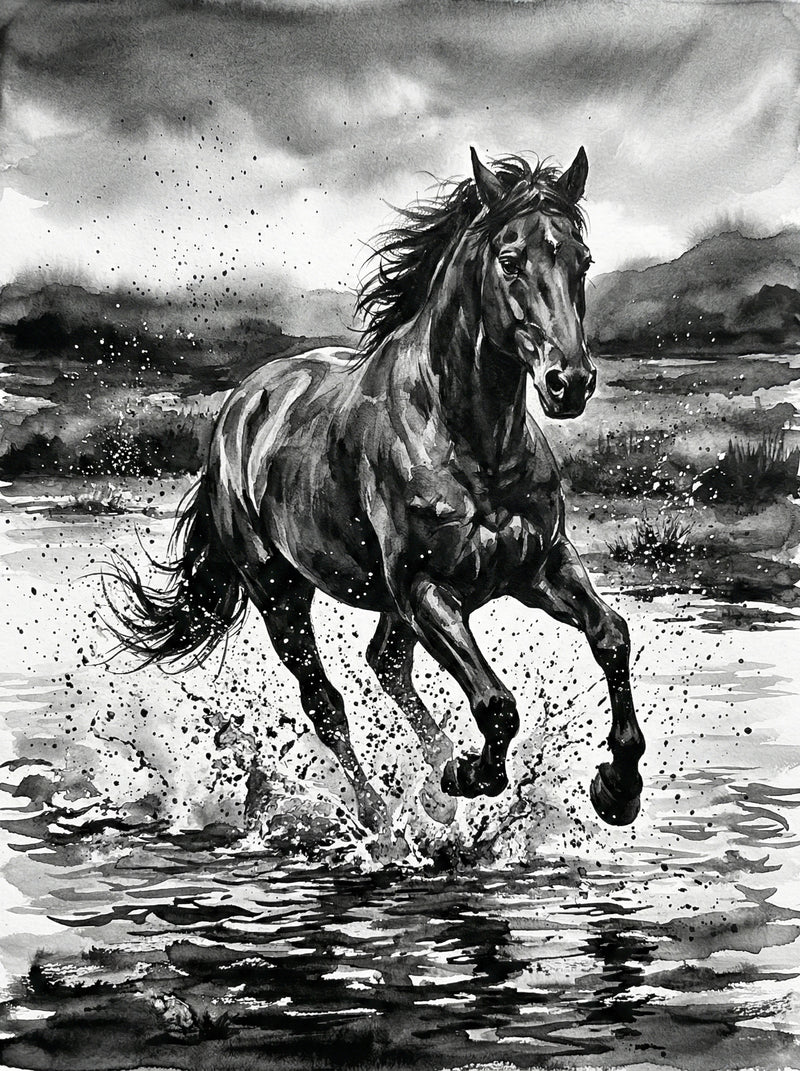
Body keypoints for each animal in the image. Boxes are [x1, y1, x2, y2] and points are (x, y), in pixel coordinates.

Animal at [109, 147, 645, 833]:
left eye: (583, 260)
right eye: (509, 260)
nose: (569, 383)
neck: (472, 446)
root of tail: (240, 404)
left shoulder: (541, 567)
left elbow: (611, 637)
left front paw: (617, 788)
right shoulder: (426, 589)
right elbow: (496, 705)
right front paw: (468, 775)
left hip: (385, 601)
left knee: (386, 662)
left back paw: (432, 791)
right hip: (280, 595)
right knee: (325, 701)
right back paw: (380, 818)